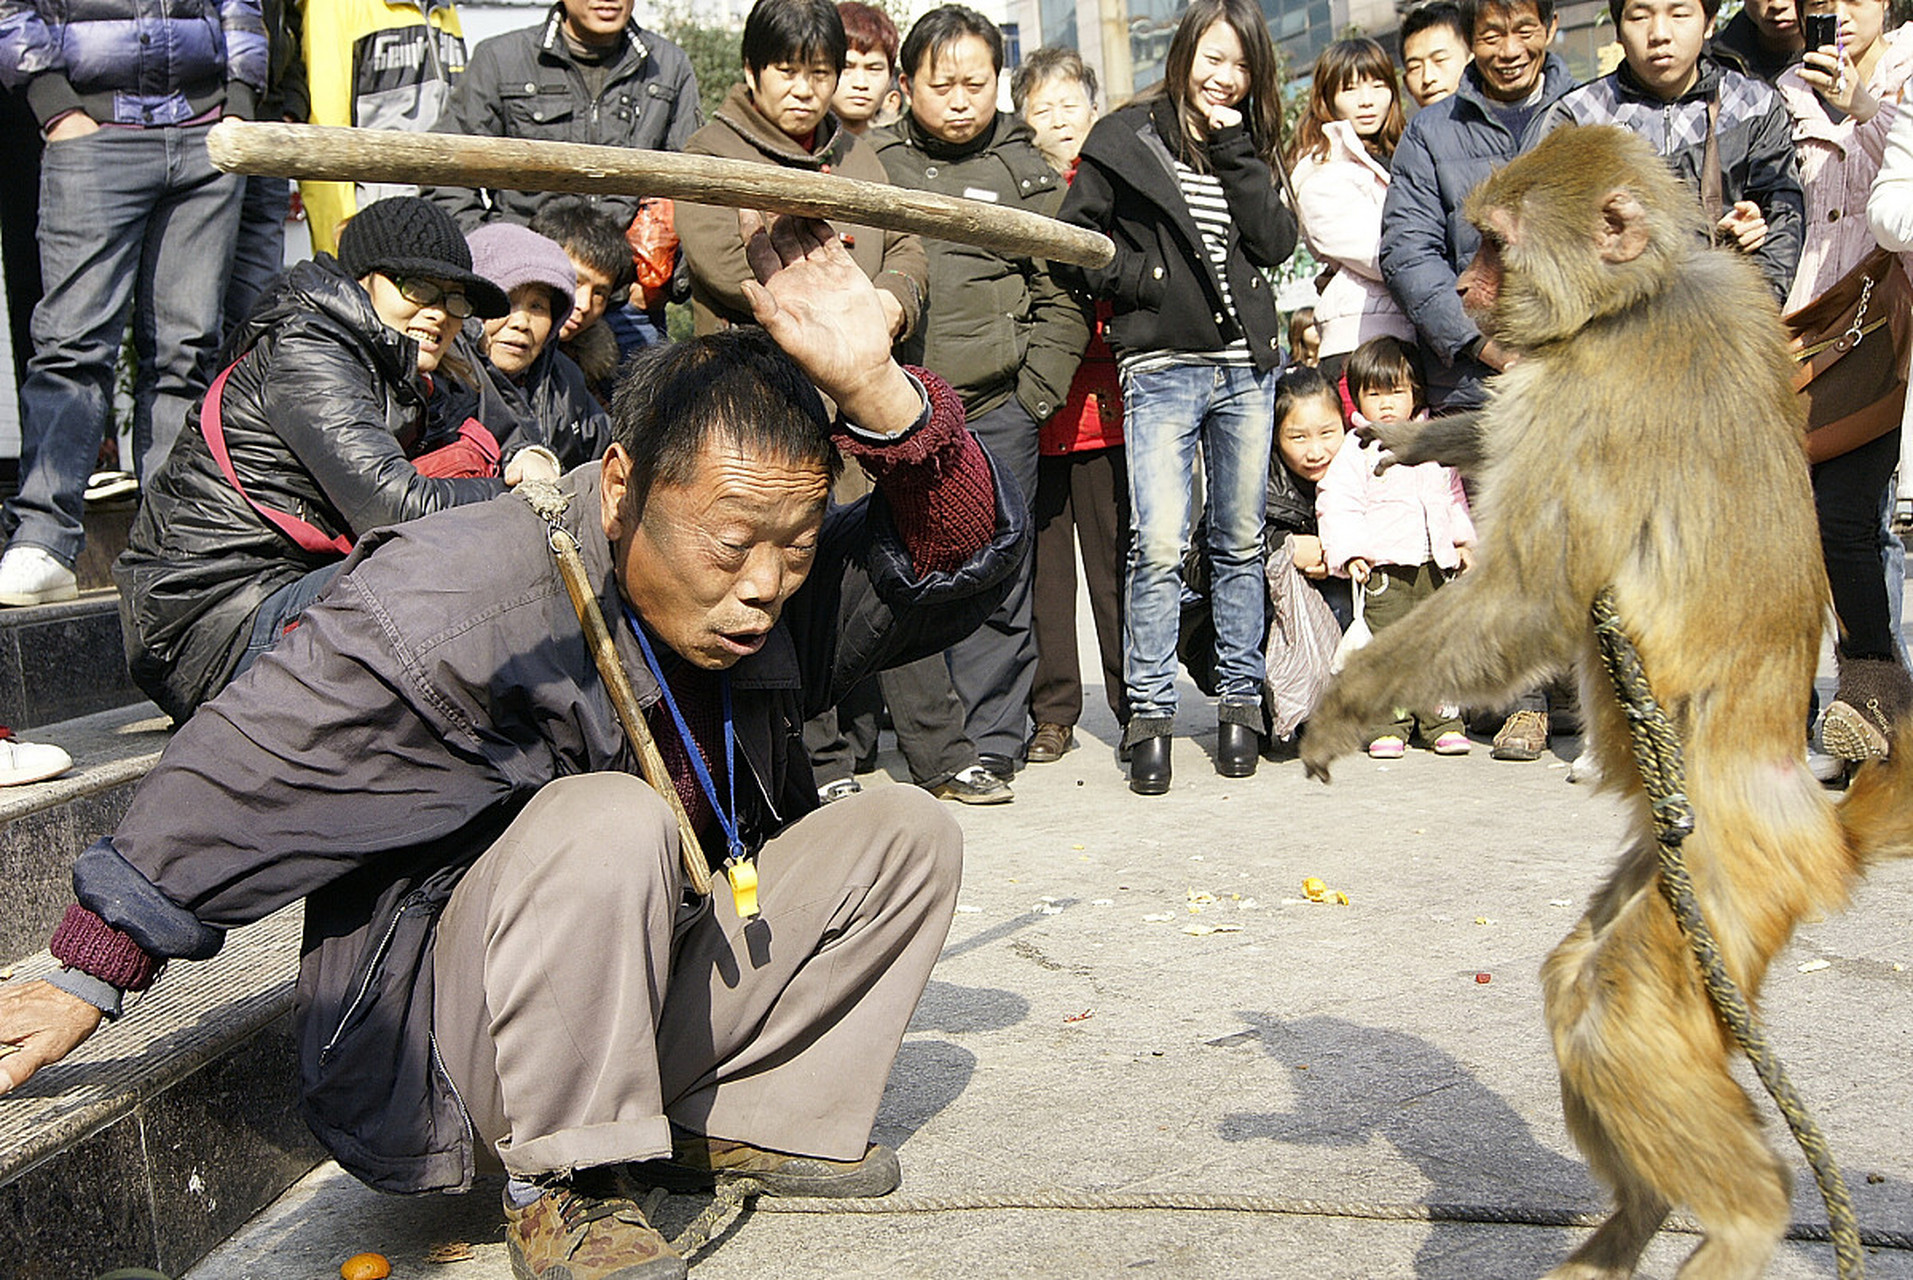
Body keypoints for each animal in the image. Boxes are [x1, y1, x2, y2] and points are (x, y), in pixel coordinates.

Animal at [1300, 122, 1913, 1278]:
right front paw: (1427, 438)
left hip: (1728, 880)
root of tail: (1811, 829)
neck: (1639, 299)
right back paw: (1630, 1219)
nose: (1460, 286)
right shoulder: (1735, 297)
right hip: (1684, 882)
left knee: (1617, 1013)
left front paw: (1342, 706)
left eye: (1494, 243)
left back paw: (1744, 1217)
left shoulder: (1588, 391)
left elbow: (1525, 596)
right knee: (1574, 976)